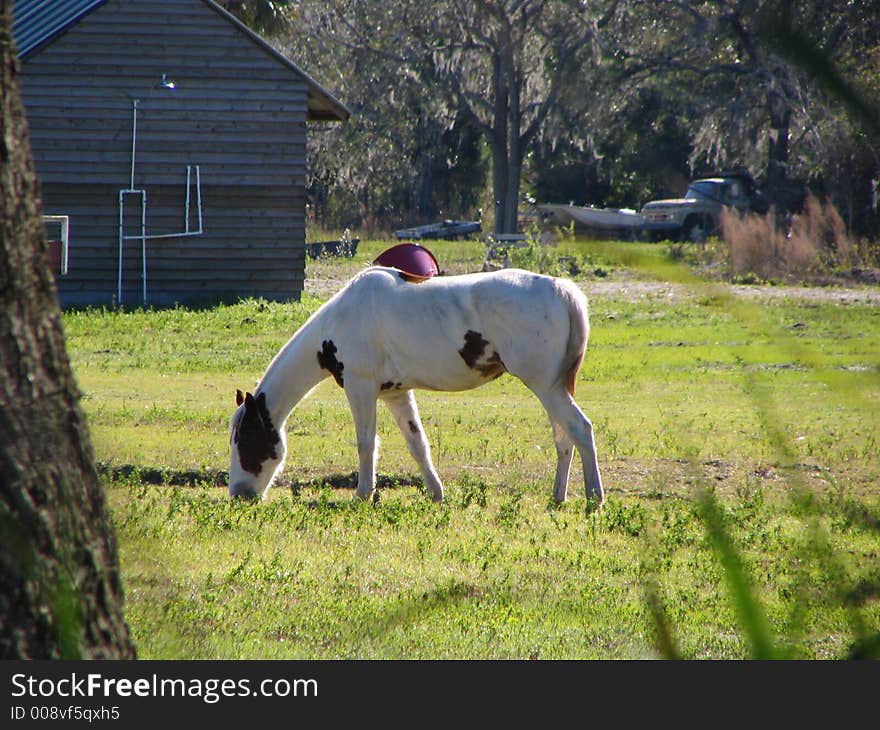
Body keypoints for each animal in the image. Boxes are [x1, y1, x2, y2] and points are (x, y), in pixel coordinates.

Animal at [225, 264, 604, 504]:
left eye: (246, 440)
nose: (239, 495)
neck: (344, 319)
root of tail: (561, 288)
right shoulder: (396, 394)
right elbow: (418, 444)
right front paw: (436, 494)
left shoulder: (361, 389)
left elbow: (366, 444)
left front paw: (363, 494)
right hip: (552, 389)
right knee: (564, 439)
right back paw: (559, 497)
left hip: (546, 387)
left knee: (580, 429)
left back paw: (594, 498)